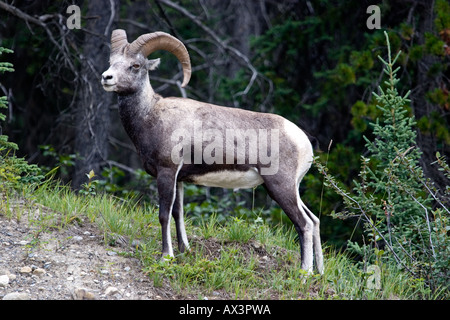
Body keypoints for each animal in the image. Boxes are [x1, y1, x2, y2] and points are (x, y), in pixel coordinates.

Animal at [101, 30, 324, 274]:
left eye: (135, 65)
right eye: (112, 62)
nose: (106, 78)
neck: (150, 115)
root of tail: (303, 140)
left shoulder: (167, 173)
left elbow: (164, 215)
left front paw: (166, 257)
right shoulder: (179, 180)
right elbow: (178, 213)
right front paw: (183, 250)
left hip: (280, 186)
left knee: (303, 224)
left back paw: (304, 273)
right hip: (291, 188)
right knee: (314, 220)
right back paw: (320, 273)